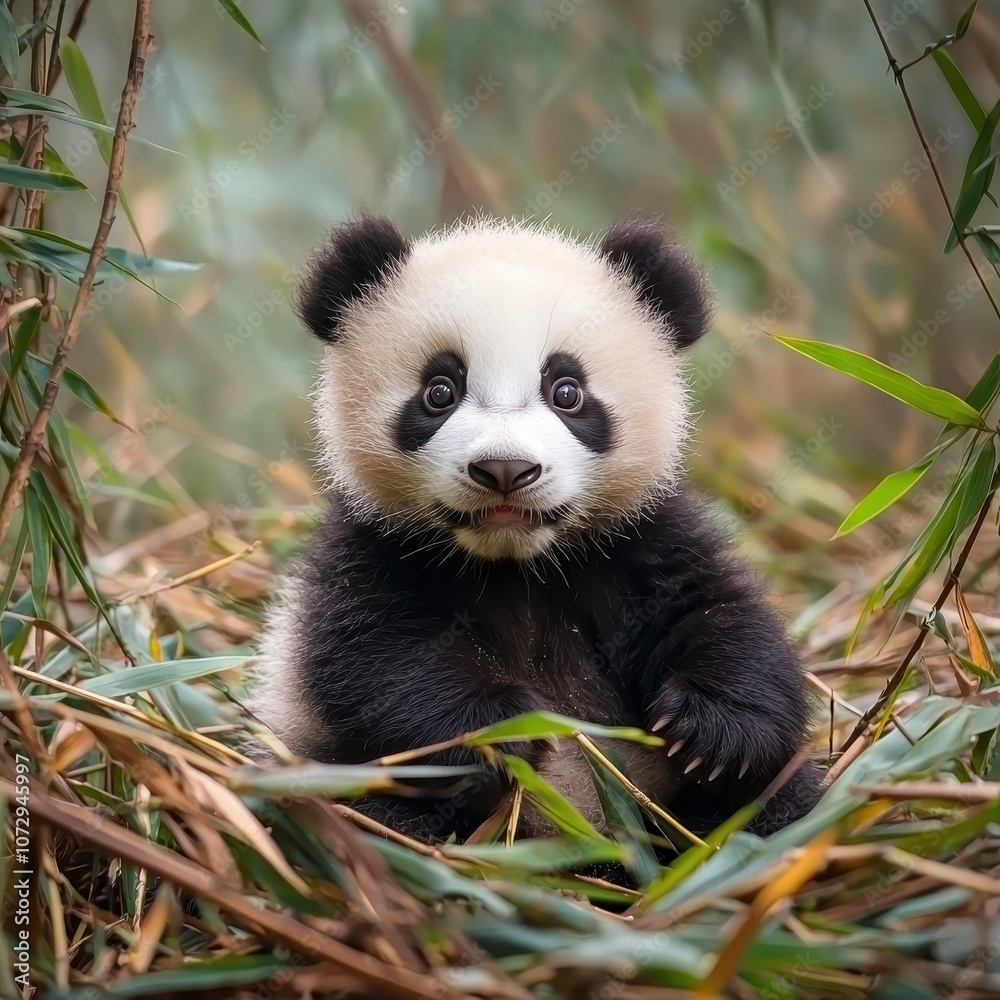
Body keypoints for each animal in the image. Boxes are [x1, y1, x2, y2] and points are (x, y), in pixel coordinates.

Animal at [249, 215, 822, 843]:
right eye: (439, 391)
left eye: (567, 391)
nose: (505, 469)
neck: (516, 565)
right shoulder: (371, 551)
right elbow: (379, 659)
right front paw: (504, 732)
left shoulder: (637, 542)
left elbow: (719, 615)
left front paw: (711, 731)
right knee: (370, 815)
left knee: (778, 806)